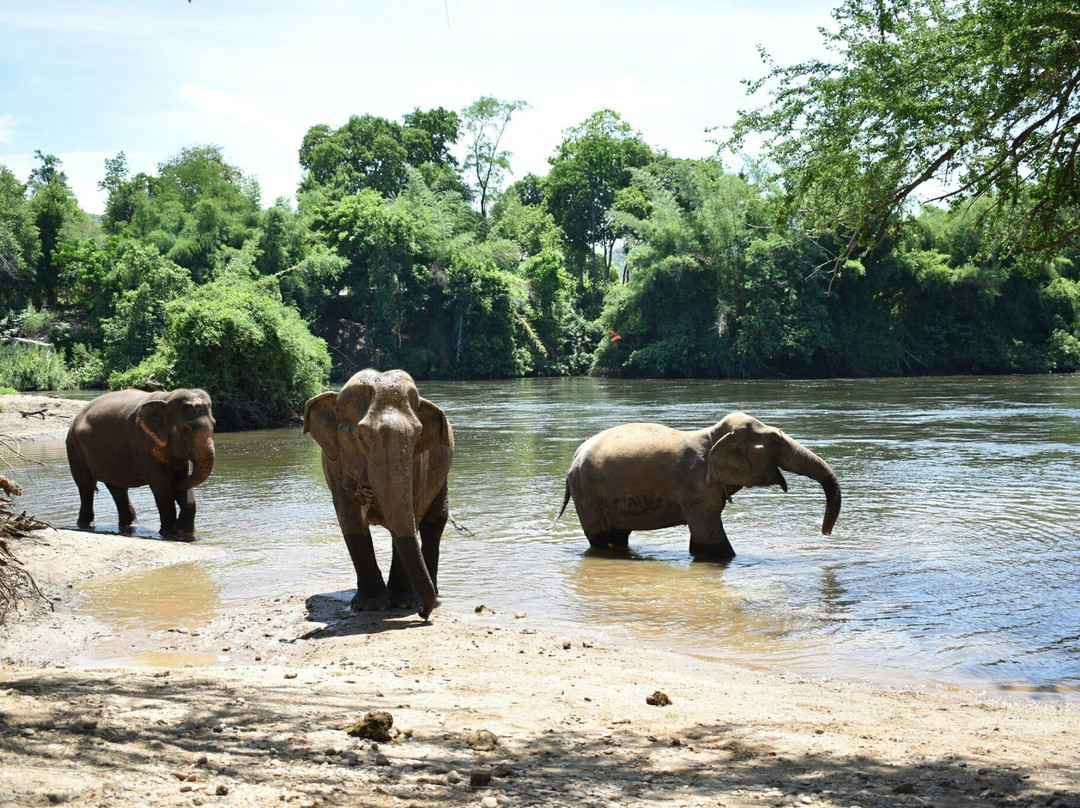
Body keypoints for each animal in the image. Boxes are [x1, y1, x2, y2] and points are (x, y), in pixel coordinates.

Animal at [64, 388, 217, 540]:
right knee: (86, 486)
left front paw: (184, 532)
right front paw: (169, 533)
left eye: (214, 424)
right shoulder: (142, 442)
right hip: (74, 446)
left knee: (117, 488)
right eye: (186, 429)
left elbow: (183, 482)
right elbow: (162, 486)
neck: (166, 397)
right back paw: (85, 525)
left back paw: (128, 525)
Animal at [302, 369, 453, 622]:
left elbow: (409, 517)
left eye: (417, 435)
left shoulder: (418, 465)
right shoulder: (334, 469)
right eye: (361, 437)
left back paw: (433, 591)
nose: (422, 613)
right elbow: (351, 524)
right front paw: (370, 606)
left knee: (433, 523)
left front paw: (405, 603)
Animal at [557, 412, 842, 557]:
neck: (712, 436)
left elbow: (700, 541)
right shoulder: (694, 485)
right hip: (588, 495)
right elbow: (710, 539)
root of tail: (573, 459)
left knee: (618, 536)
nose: (825, 532)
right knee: (600, 538)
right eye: (774, 443)